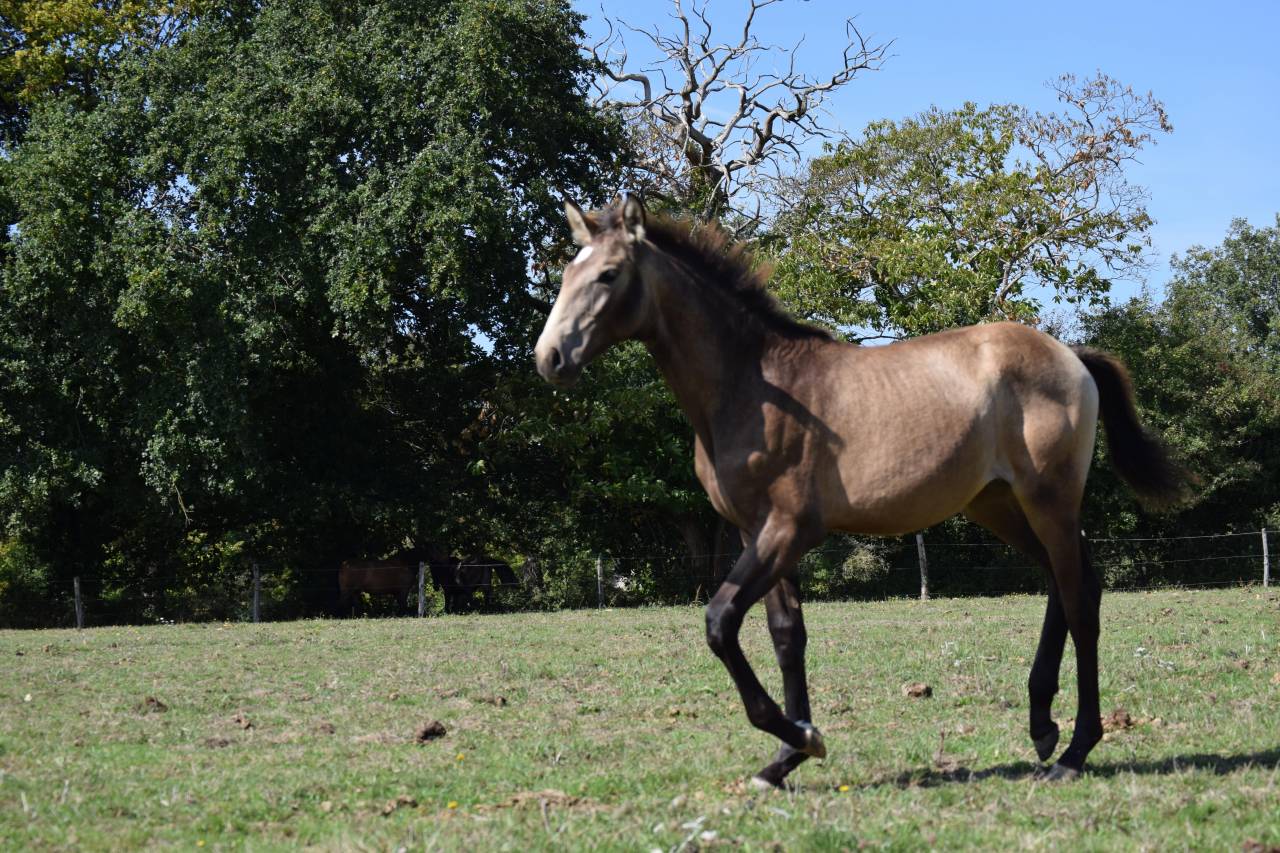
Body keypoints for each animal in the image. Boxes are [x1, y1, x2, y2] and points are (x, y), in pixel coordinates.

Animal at [534, 195, 1190, 789]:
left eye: (608, 274)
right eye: (567, 272)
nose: (550, 358)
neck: (752, 386)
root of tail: (1072, 356)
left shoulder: (789, 529)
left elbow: (720, 622)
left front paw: (802, 738)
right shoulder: (754, 530)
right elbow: (786, 635)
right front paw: (785, 758)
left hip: (1047, 499)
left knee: (1080, 597)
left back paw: (1075, 750)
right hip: (1000, 505)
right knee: (1063, 581)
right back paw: (1042, 727)